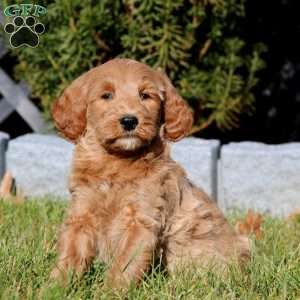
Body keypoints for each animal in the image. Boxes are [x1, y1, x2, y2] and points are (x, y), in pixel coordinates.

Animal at [50, 58, 250, 288]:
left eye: (145, 95)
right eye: (107, 95)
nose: (129, 121)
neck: (116, 162)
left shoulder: (142, 220)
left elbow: (124, 266)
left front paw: (110, 291)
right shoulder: (82, 213)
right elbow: (70, 255)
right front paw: (54, 287)